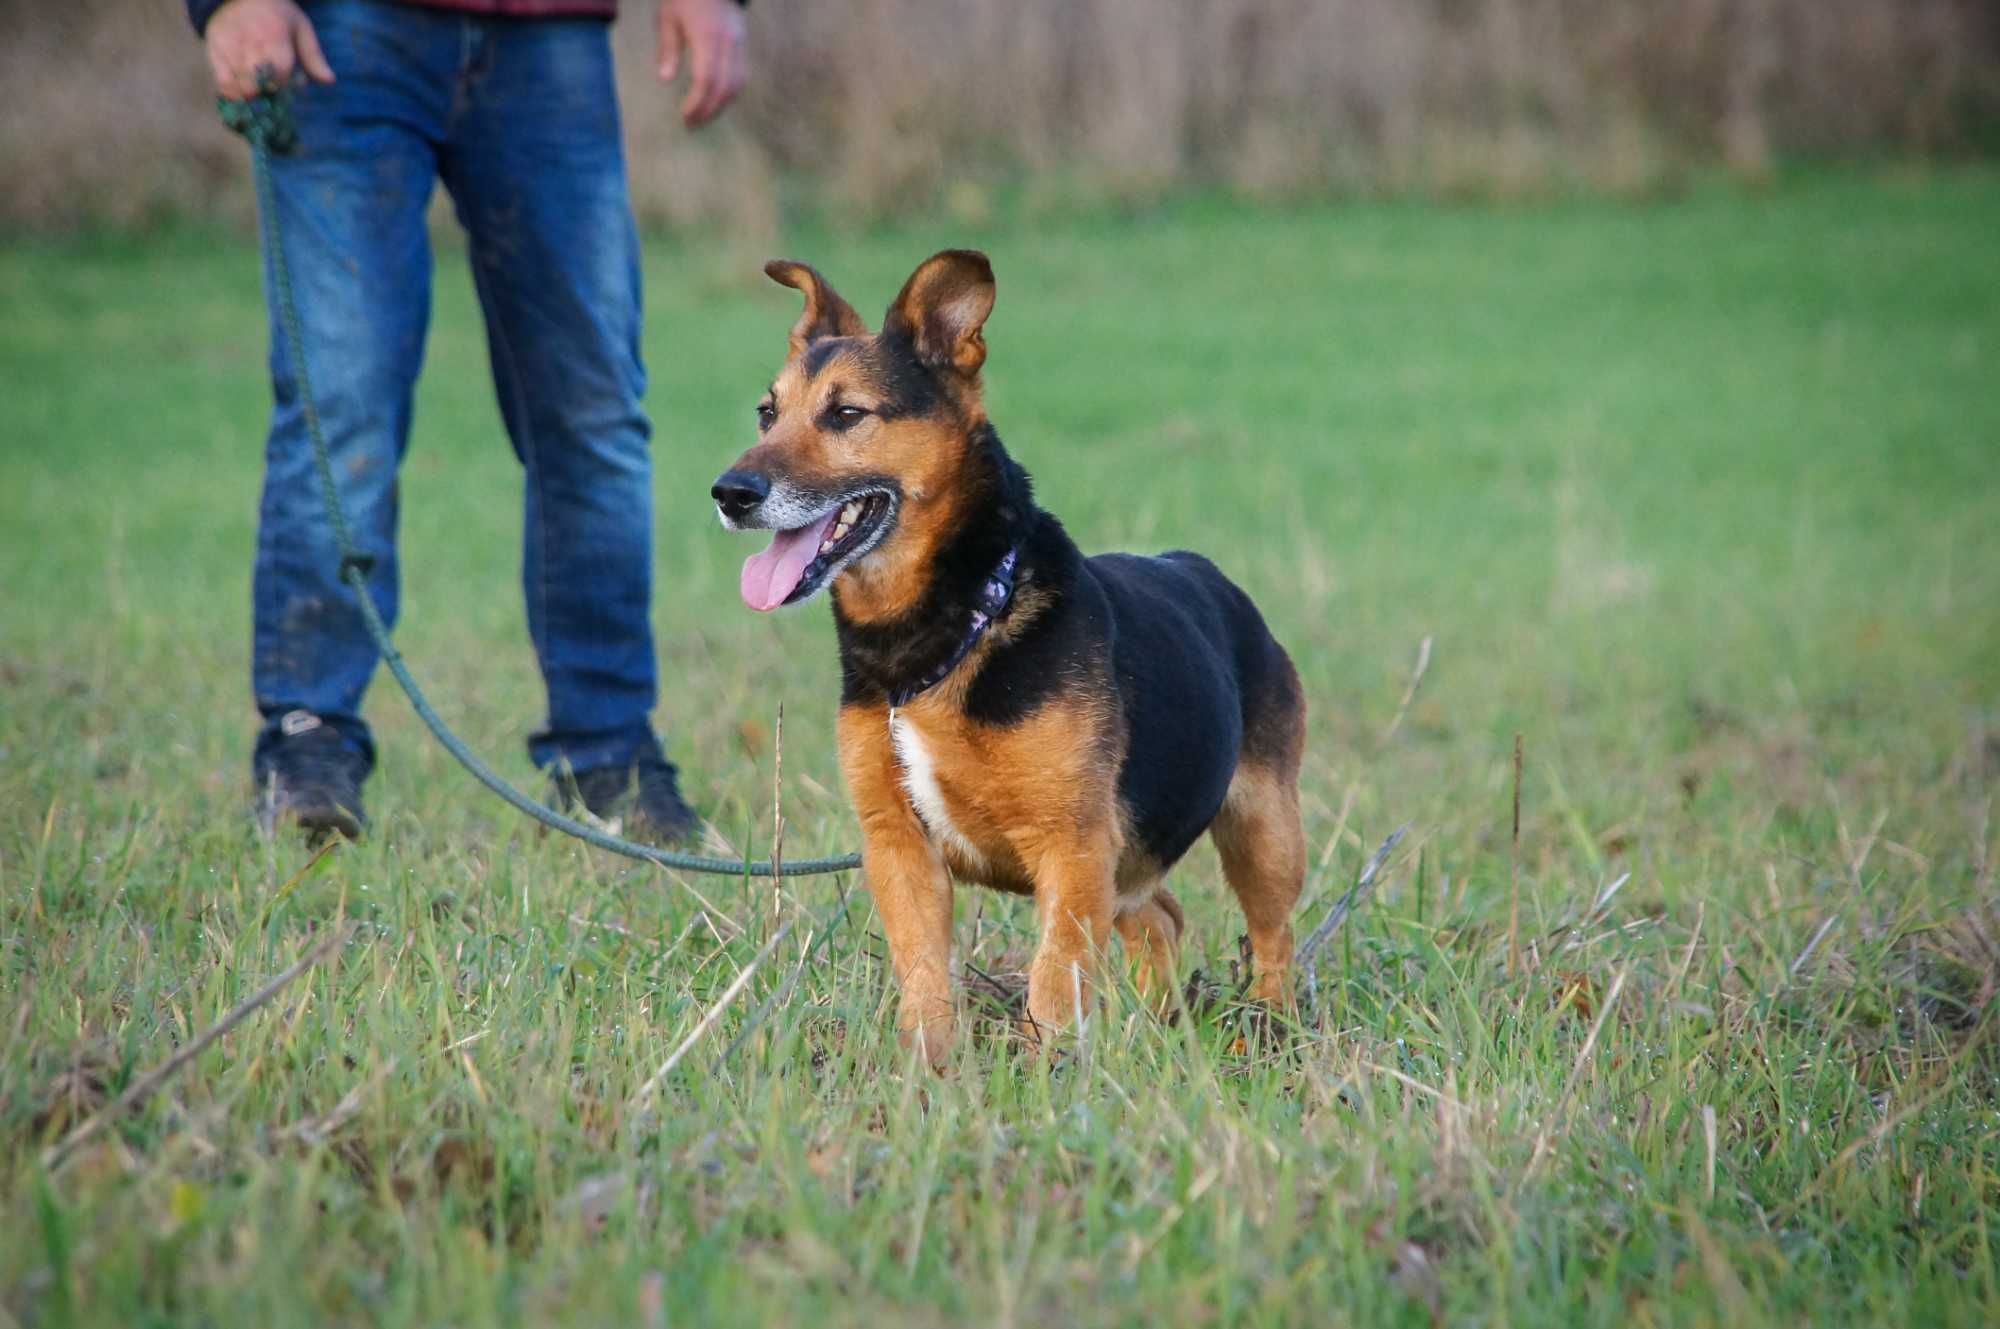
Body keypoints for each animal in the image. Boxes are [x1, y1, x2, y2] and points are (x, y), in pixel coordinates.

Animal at [712, 246, 1304, 1056]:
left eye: (846, 414)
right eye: (766, 414)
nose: (729, 492)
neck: (951, 630)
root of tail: (1202, 569)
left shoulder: (1073, 845)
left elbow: (1053, 982)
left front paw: (1049, 1068)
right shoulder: (898, 843)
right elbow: (924, 975)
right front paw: (926, 1067)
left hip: (1261, 828)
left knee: (1273, 938)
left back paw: (1271, 1029)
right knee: (1161, 918)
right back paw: (1157, 1029)